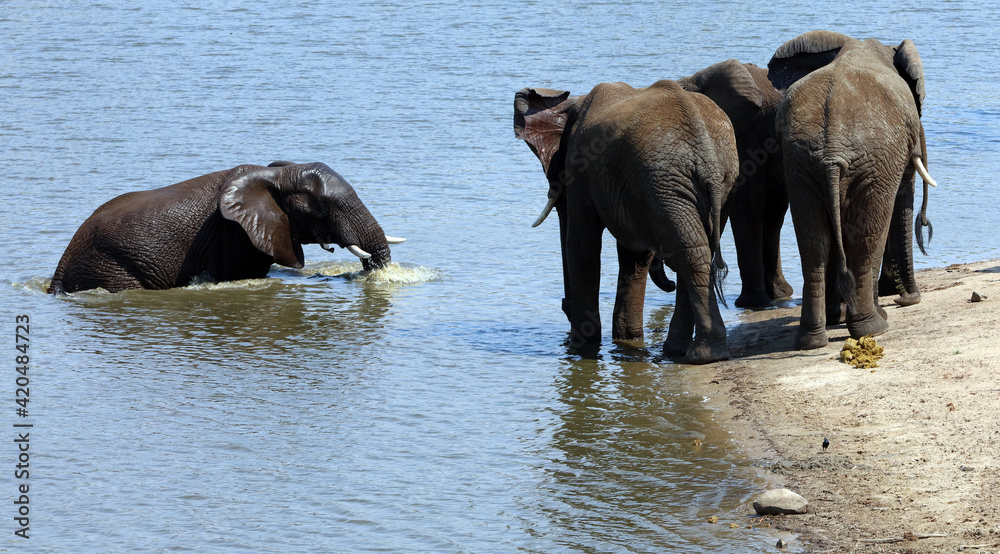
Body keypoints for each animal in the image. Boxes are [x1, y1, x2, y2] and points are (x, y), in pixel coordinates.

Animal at [516, 77, 744, 362]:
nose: (564, 307)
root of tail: (709, 160)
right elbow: (634, 258)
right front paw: (627, 340)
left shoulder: (581, 164)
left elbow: (582, 247)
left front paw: (584, 348)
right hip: (716, 182)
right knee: (696, 250)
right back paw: (684, 351)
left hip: (665, 181)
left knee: (689, 253)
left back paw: (699, 355)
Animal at [764, 30, 936, 348]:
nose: (906, 300)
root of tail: (832, 151)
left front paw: (837, 317)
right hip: (869, 163)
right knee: (866, 239)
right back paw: (873, 327)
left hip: (800, 164)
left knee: (813, 243)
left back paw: (812, 339)